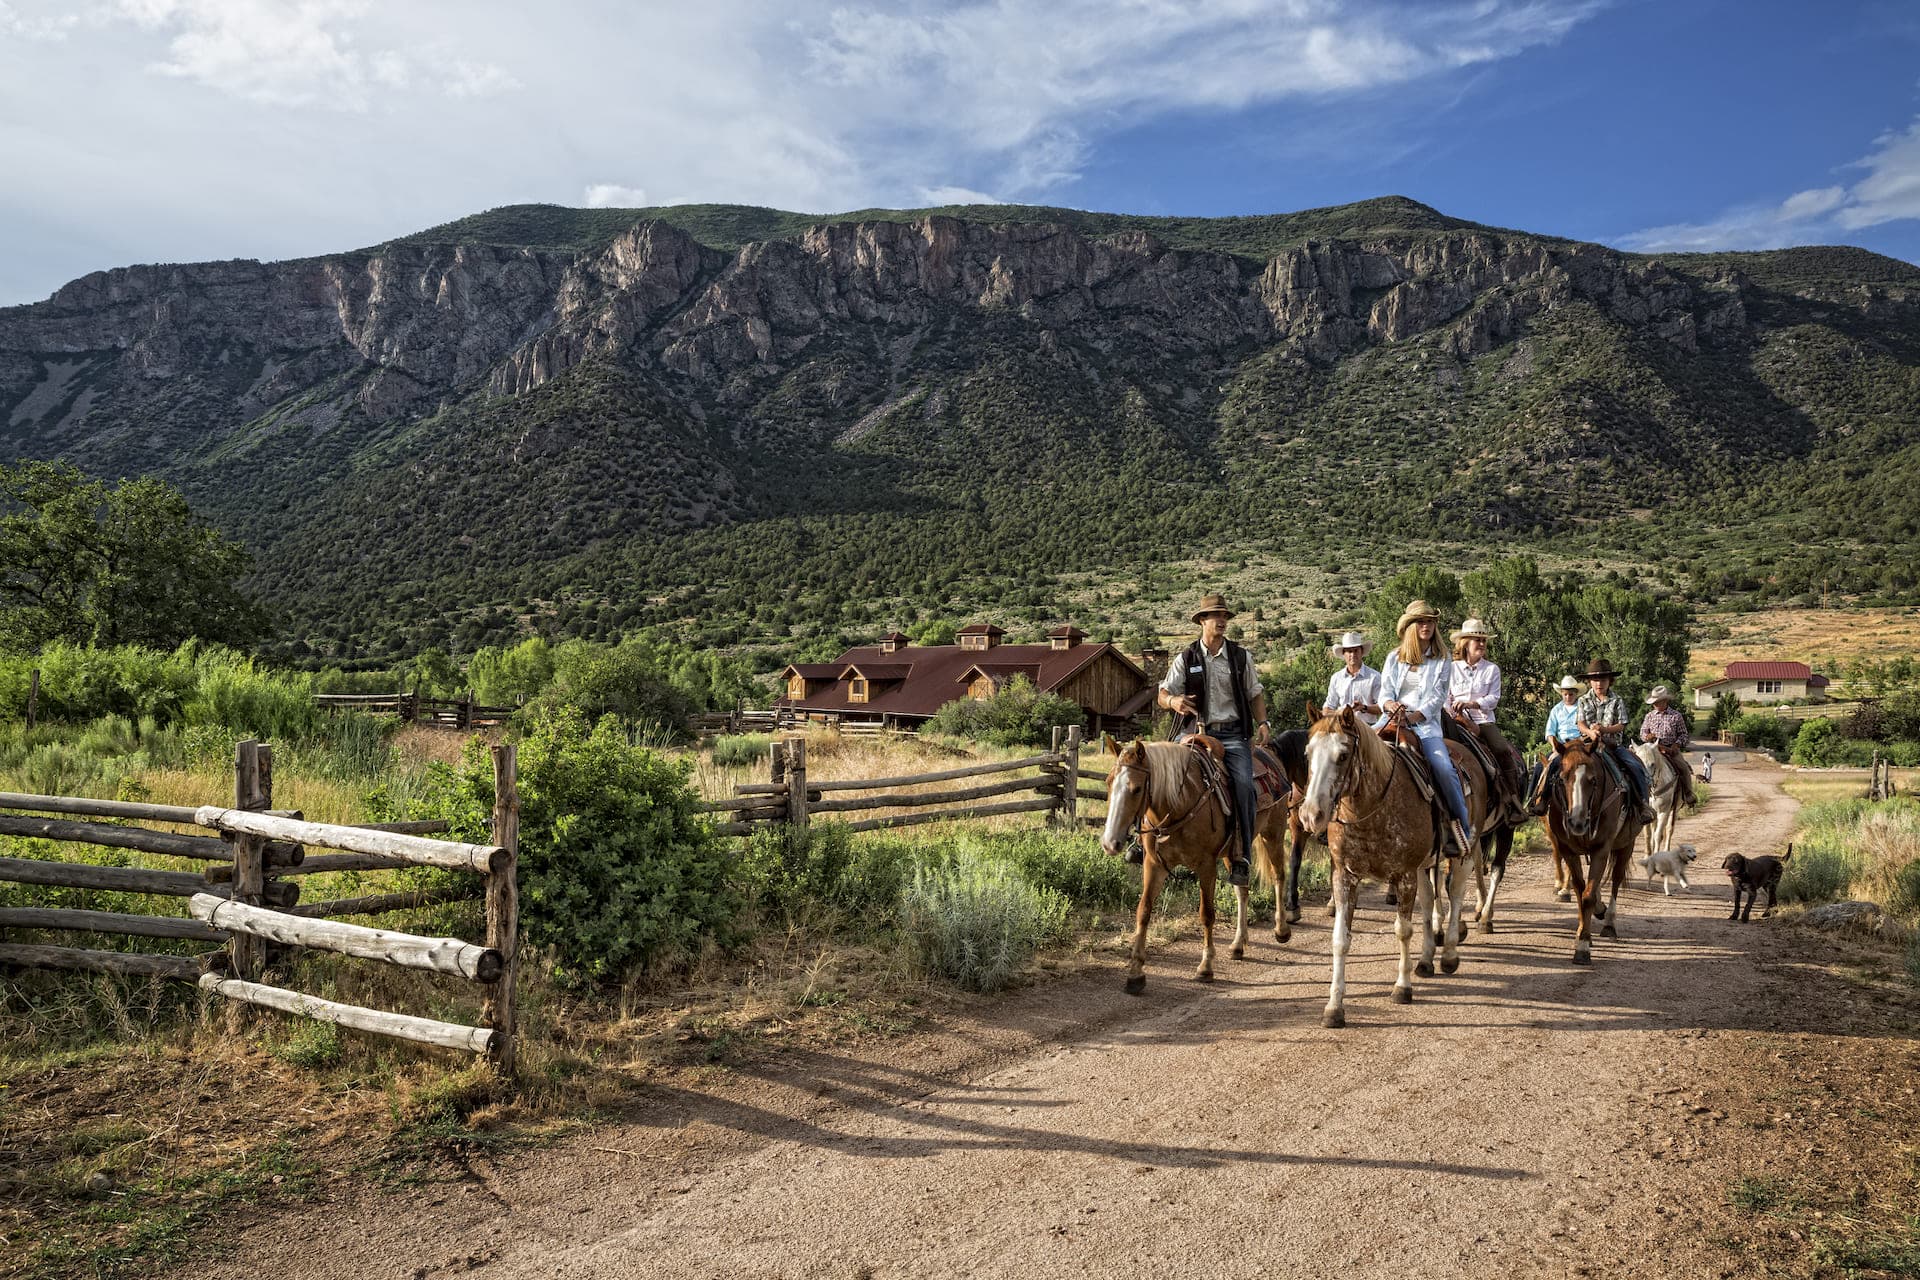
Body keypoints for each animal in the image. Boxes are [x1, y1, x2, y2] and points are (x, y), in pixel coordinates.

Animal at [1099, 737, 1291, 994]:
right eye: (1109, 782)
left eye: (1136, 788)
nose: (1110, 843)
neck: (1180, 803)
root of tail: (1268, 750)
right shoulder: (1154, 864)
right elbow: (1143, 911)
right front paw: (1135, 973)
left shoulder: (1206, 865)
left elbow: (1206, 914)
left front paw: (1206, 967)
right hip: (1235, 851)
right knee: (1242, 890)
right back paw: (1238, 945)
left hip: (1274, 832)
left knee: (1279, 875)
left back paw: (1281, 929)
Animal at [1295, 707, 1488, 1027]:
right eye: (1308, 753)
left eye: (1343, 755)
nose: (1312, 815)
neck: (1373, 807)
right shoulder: (1345, 876)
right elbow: (1340, 940)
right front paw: (1334, 1007)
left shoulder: (1404, 875)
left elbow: (1403, 930)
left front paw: (1402, 988)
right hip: (1424, 865)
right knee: (1429, 900)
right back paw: (1425, 961)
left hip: (1464, 852)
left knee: (1457, 893)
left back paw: (1448, 954)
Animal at [1544, 737, 1644, 965]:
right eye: (1561, 778)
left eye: (1593, 780)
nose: (1577, 822)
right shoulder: (1568, 850)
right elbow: (1581, 892)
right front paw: (1583, 934)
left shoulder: (1601, 849)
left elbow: (1588, 896)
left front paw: (1582, 947)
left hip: (1626, 845)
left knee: (1616, 880)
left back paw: (1609, 924)